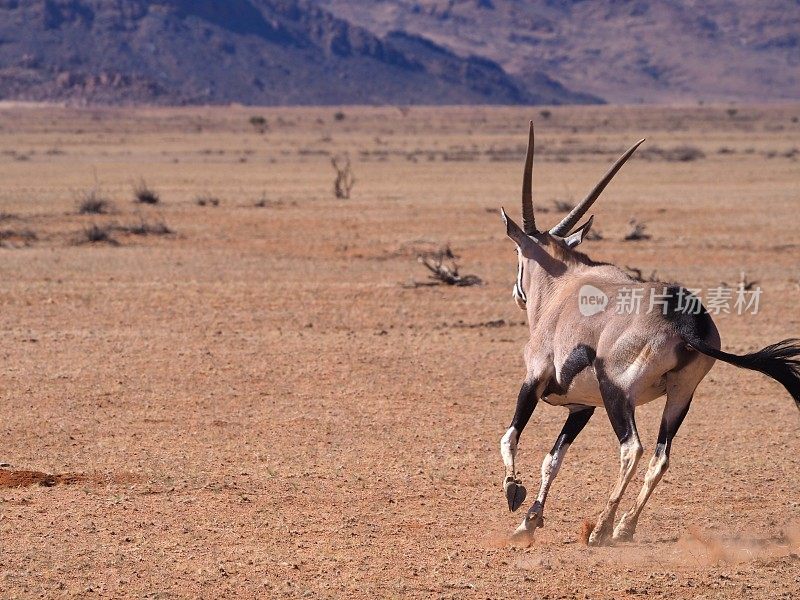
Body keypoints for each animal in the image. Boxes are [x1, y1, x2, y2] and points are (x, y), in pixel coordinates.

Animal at [500, 124, 800, 548]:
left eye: (518, 255)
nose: (518, 292)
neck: (563, 284)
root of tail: (683, 319)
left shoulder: (534, 381)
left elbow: (510, 437)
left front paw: (514, 492)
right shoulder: (582, 406)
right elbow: (553, 460)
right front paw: (530, 520)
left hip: (618, 393)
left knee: (632, 449)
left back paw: (602, 528)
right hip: (680, 396)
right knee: (661, 457)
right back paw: (625, 526)